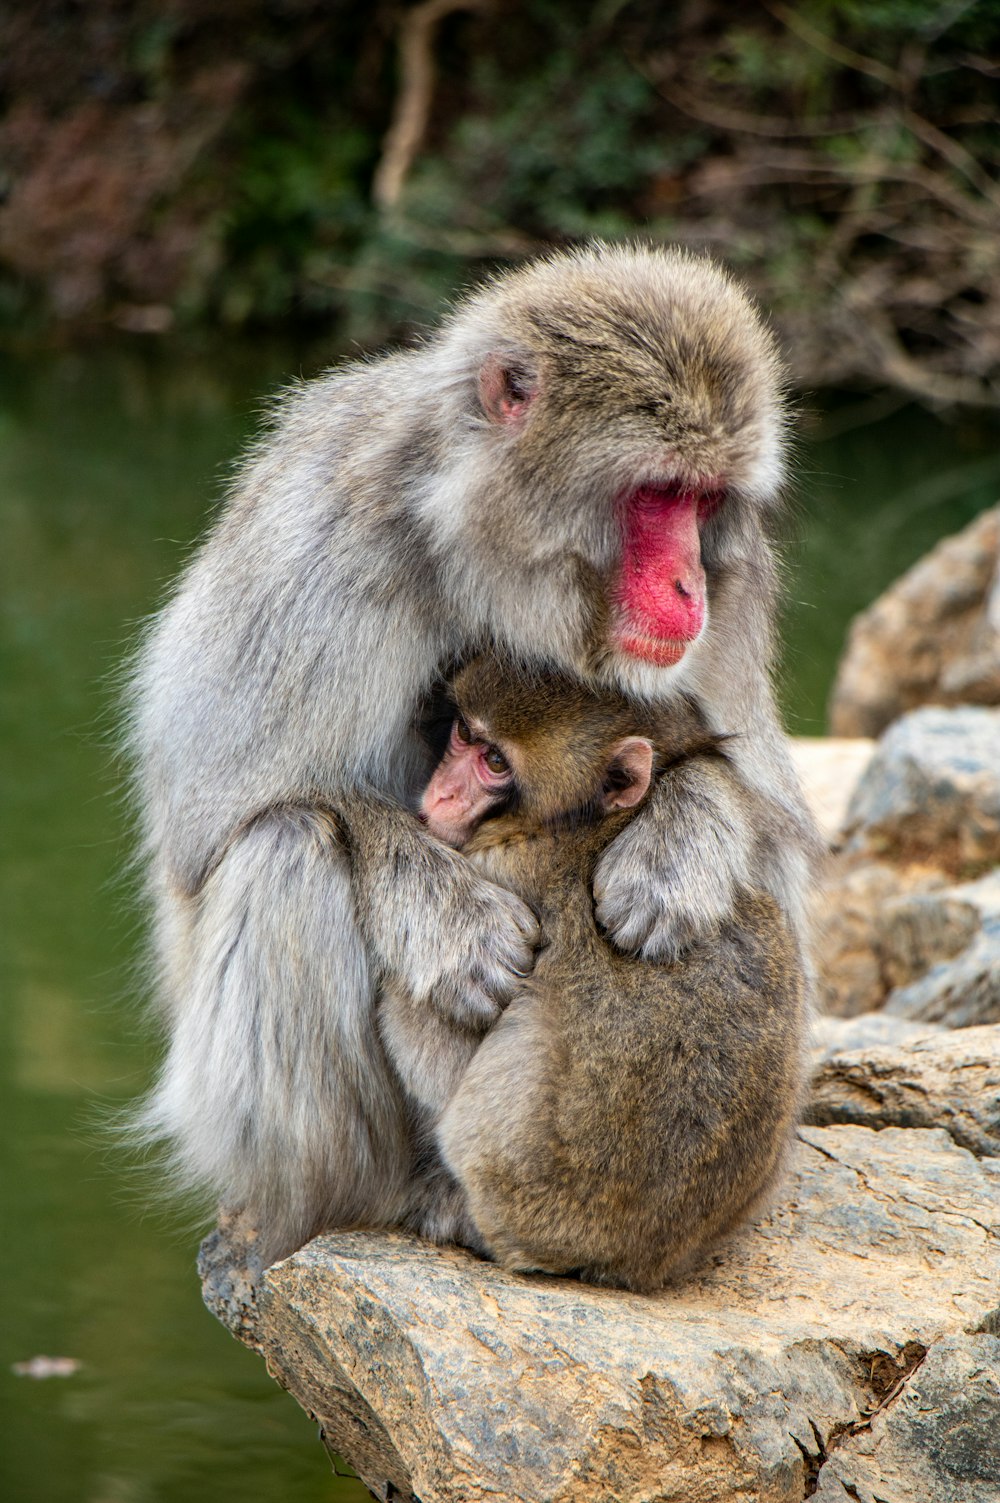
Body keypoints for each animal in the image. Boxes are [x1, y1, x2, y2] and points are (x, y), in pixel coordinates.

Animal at [378, 658, 806, 1292]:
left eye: (496, 762)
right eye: (464, 733)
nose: (442, 793)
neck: (573, 823)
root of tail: (629, 1260)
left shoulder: (500, 870)